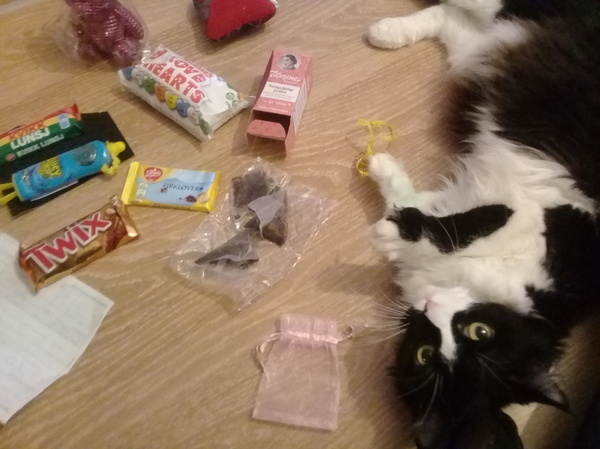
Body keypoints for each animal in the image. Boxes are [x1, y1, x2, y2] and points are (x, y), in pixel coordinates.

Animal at [366, 1, 600, 448]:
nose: (430, 308)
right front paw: (380, 173)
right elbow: (463, 225)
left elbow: (424, 218)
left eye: (426, 354)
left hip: (485, 42)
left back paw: (385, 32)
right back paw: (381, 30)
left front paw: (385, 201)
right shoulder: (539, 215)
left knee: (453, 17)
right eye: (481, 332)